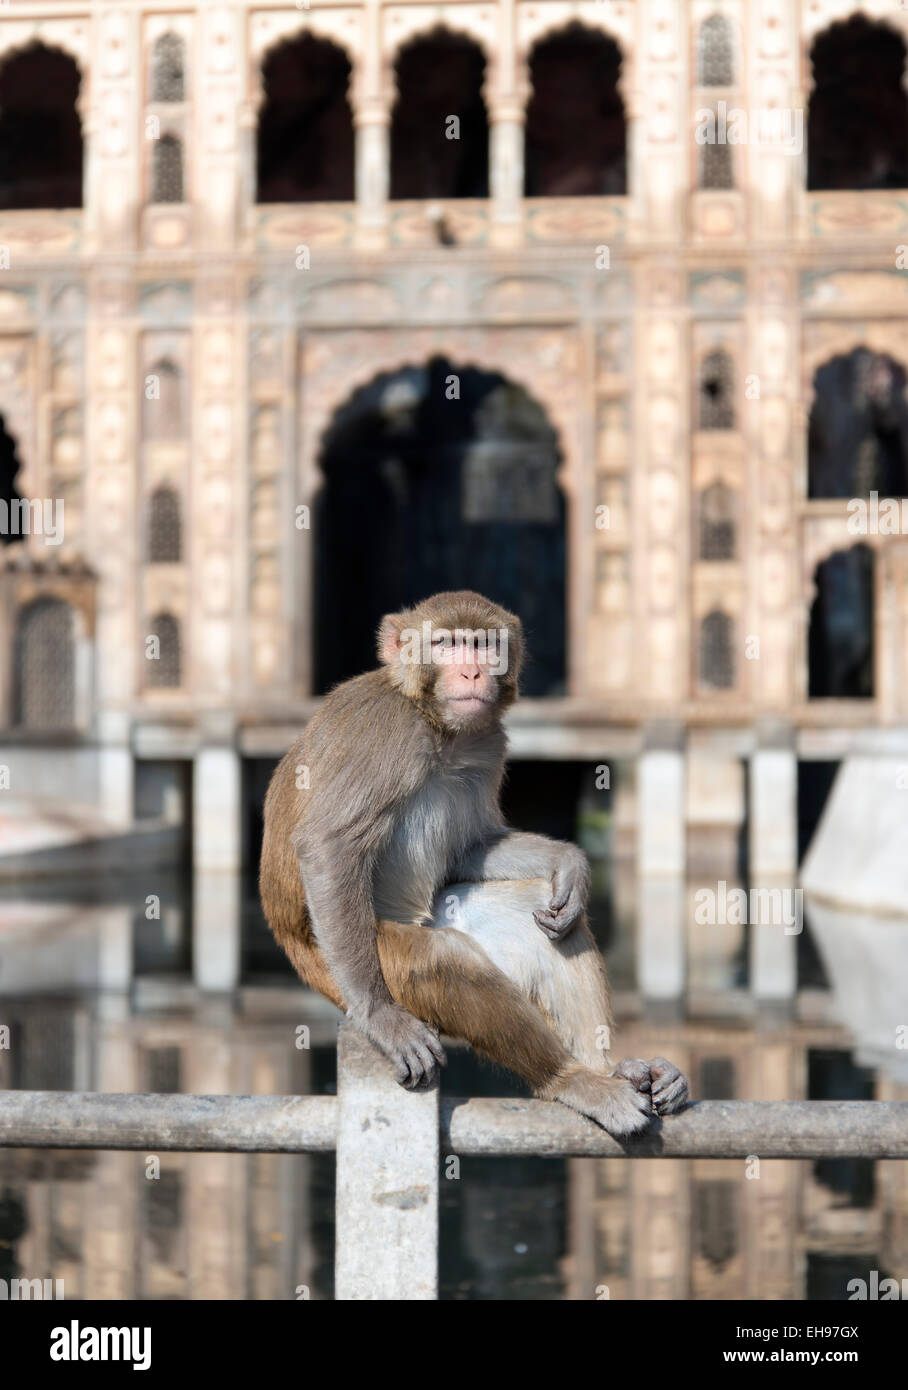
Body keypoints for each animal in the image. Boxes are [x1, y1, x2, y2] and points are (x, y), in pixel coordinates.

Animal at [260, 590, 688, 1136]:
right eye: (447, 644)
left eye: (484, 645)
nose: (471, 672)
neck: (438, 726)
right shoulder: (385, 732)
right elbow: (328, 846)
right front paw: (380, 1016)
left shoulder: (490, 742)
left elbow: (470, 849)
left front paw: (569, 862)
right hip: (340, 967)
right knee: (441, 959)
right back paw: (573, 1080)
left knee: (536, 912)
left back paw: (611, 1067)